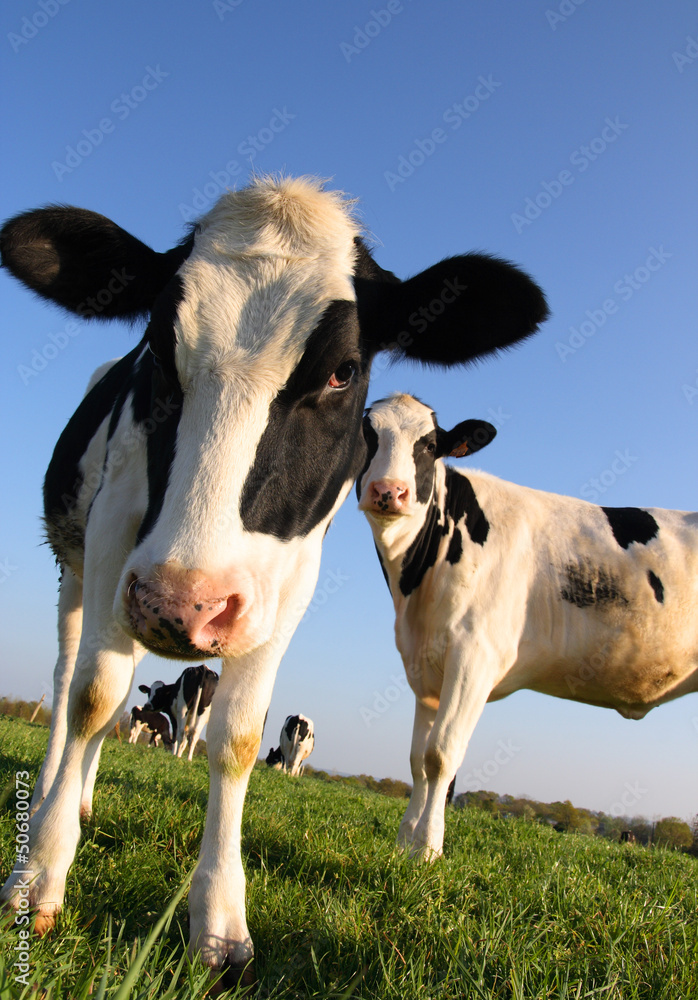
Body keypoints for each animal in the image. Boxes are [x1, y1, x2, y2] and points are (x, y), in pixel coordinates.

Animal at [0, 176, 548, 988]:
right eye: (158, 345)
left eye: (342, 371)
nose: (182, 603)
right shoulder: (113, 533)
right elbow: (93, 697)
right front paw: (39, 876)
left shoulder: (287, 581)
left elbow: (236, 735)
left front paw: (219, 925)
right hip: (84, 570)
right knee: (75, 680)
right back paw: (53, 802)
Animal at [358, 394, 696, 864]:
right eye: (367, 434)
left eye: (428, 445)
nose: (388, 491)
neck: (414, 586)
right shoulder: (425, 667)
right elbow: (416, 761)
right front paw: (405, 846)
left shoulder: (475, 656)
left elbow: (441, 755)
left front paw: (427, 850)